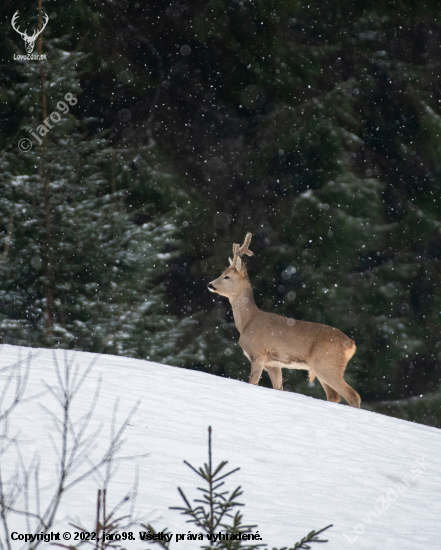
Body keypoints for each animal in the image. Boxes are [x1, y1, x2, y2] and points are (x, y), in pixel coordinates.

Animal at [208, 233, 360, 410]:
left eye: (226, 276)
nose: (210, 284)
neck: (247, 322)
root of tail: (351, 344)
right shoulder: (273, 364)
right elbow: (278, 388)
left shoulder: (257, 354)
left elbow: (253, 383)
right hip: (321, 368)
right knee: (334, 396)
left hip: (327, 365)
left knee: (353, 396)